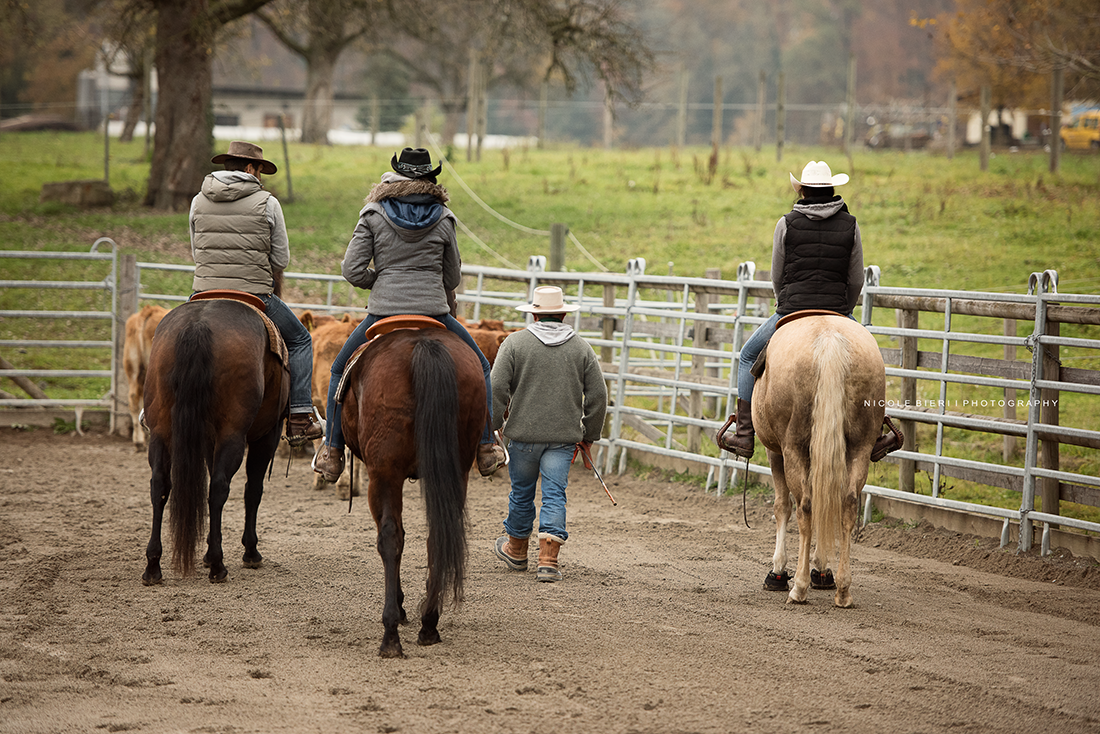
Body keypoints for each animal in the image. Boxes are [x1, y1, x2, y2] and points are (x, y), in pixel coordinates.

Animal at [140, 297, 289, 585]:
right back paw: (219, 565)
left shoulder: (210, 439)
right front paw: (250, 552)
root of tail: (197, 325)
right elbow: (253, 490)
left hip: (161, 431)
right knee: (219, 488)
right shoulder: (268, 434)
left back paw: (153, 566)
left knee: (160, 485)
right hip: (234, 433)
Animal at [339, 320, 485, 658]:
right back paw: (429, 623)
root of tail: (423, 345)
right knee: (437, 538)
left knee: (390, 537)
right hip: (457, 470)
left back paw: (391, 635)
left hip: (384, 473)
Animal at [751, 313, 885, 608]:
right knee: (846, 504)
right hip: (859, 447)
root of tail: (829, 340)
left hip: (793, 449)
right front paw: (822, 570)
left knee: (806, 507)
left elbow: (782, 507)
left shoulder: (776, 452)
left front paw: (778, 571)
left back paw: (798, 588)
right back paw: (843, 590)